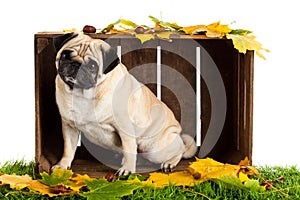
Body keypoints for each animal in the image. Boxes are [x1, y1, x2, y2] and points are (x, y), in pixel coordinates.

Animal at [52, 32, 197, 175]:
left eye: (92, 66)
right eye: (64, 55)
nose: (75, 65)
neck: (81, 95)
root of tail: (176, 132)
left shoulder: (124, 127)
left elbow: (129, 149)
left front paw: (127, 169)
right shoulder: (69, 126)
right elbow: (68, 149)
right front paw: (62, 165)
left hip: (154, 149)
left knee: (180, 151)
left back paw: (169, 163)